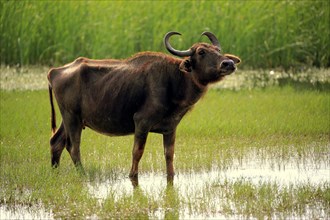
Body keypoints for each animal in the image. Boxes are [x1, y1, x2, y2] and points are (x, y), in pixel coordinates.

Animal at [47, 31, 240, 185]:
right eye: (201, 52)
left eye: (218, 51)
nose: (228, 64)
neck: (175, 80)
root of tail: (54, 72)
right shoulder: (141, 122)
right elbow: (137, 152)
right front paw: (132, 176)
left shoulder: (170, 128)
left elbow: (169, 154)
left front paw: (171, 176)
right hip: (71, 117)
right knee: (73, 147)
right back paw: (83, 174)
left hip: (70, 119)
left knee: (56, 143)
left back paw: (55, 173)